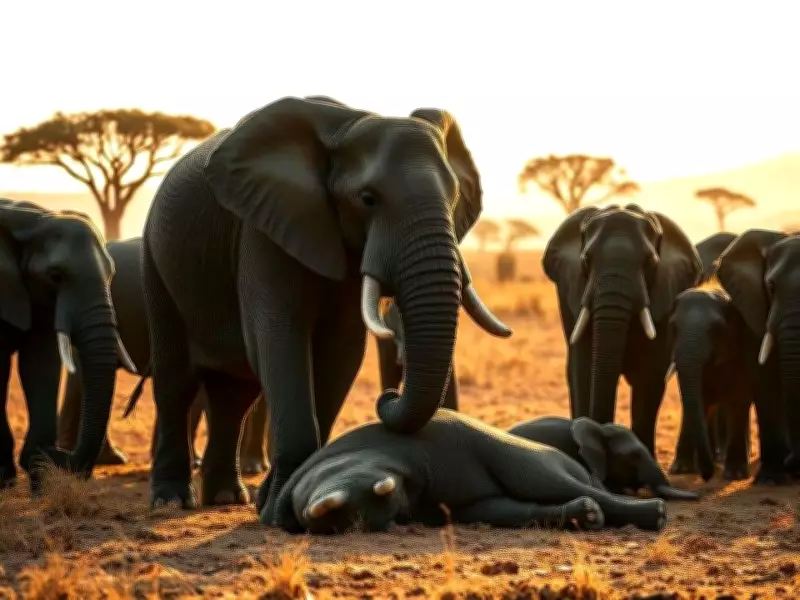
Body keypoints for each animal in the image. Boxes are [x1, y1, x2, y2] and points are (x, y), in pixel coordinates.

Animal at [0, 198, 133, 491]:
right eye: (55, 276)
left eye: (112, 274)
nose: (59, 452)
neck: (33, 219)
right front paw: (8, 479)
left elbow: (40, 365)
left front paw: (40, 480)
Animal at [140, 95, 512, 523]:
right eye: (368, 199)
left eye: (453, 198)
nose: (388, 395)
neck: (350, 124)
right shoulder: (264, 227)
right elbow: (279, 334)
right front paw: (278, 513)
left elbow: (342, 349)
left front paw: (279, 501)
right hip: (156, 261)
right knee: (176, 382)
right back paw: (172, 501)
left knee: (234, 393)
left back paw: (226, 498)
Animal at [271, 409, 668, 534]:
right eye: (400, 514)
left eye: (395, 492)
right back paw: (587, 515)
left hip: (546, 462)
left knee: (549, 482)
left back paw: (656, 514)